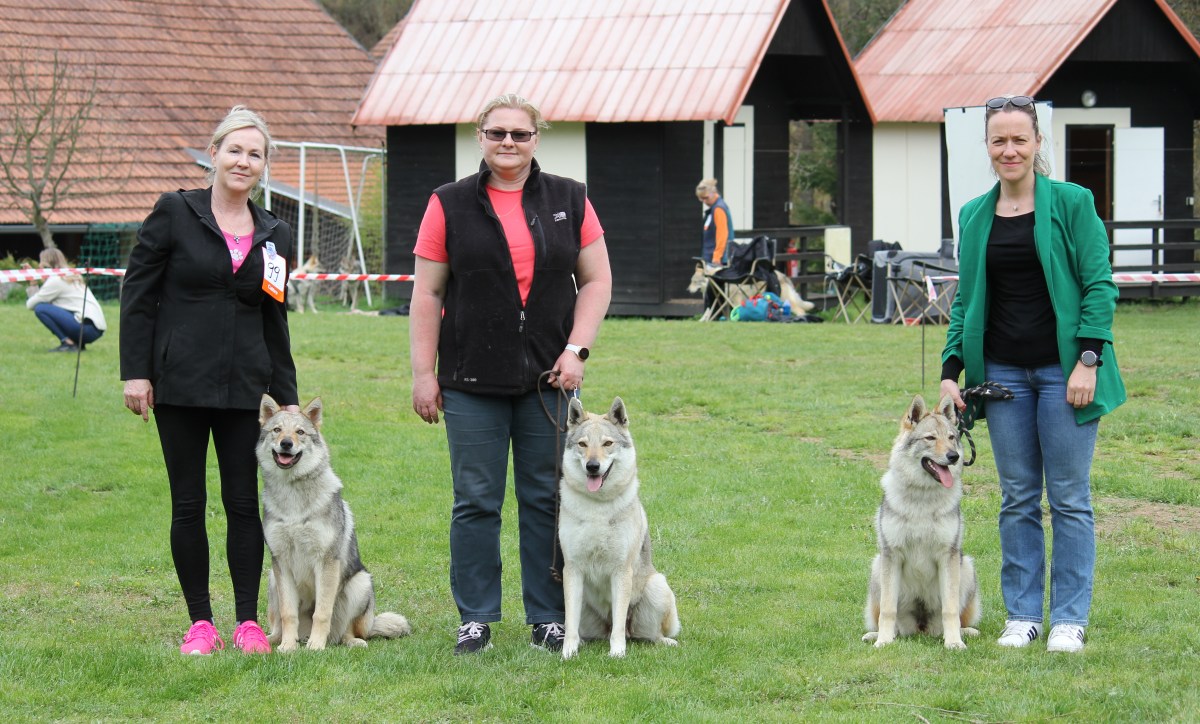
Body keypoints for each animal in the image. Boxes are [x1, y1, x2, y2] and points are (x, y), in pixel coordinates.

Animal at [255, 396, 410, 653]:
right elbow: (288, 614)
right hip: (271, 580)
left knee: (343, 632)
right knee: (278, 626)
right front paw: (288, 647)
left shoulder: (326, 561)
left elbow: (322, 613)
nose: (286, 443)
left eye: (300, 432)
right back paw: (268, 641)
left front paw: (316, 646)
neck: (293, 495)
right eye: (277, 430)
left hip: (359, 584)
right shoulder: (281, 562)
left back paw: (347, 641)